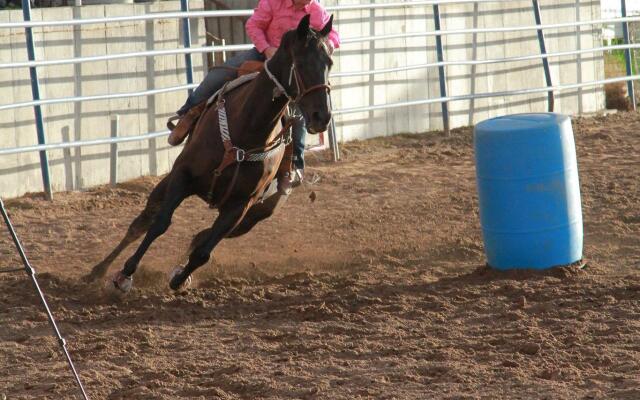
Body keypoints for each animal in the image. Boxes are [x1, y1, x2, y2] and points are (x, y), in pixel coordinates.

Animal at [85, 14, 336, 290]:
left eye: (329, 62)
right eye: (301, 62)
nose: (322, 117)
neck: (247, 129)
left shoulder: (241, 205)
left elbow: (203, 252)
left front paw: (179, 278)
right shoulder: (182, 176)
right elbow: (160, 224)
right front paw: (126, 274)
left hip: (257, 213)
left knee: (201, 238)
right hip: (167, 182)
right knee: (142, 223)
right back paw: (98, 271)